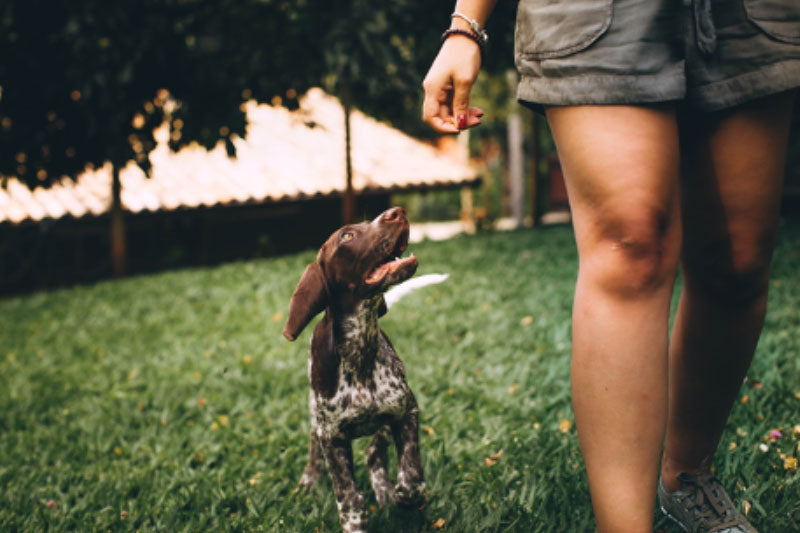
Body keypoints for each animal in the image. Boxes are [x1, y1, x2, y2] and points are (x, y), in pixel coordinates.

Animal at [284, 207, 440, 532]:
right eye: (347, 235)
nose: (396, 212)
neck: (360, 352)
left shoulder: (406, 410)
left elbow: (411, 475)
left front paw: (406, 496)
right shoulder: (332, 437)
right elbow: (348, 497)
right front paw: (355, 520)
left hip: (382, 424)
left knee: (372, 455)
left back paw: (384, 490)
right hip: (316, 416)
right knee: (314, 444)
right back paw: (309, 480)